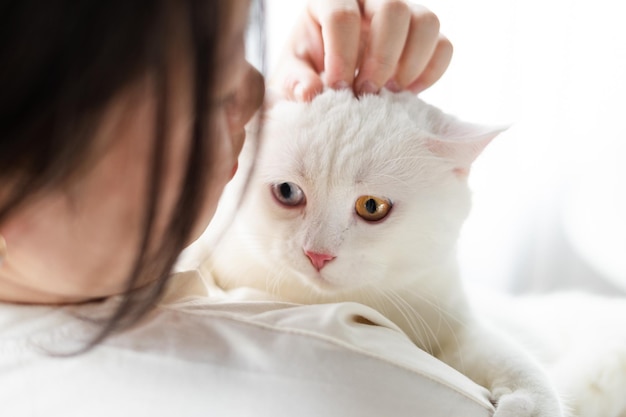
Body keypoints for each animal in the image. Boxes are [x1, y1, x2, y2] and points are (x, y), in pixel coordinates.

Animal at [202, 89, 564, 414]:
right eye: (288, 191)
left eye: (372, 206)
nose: (317, 253)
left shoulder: (454, 323)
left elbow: (504, 353)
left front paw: (530, 403)